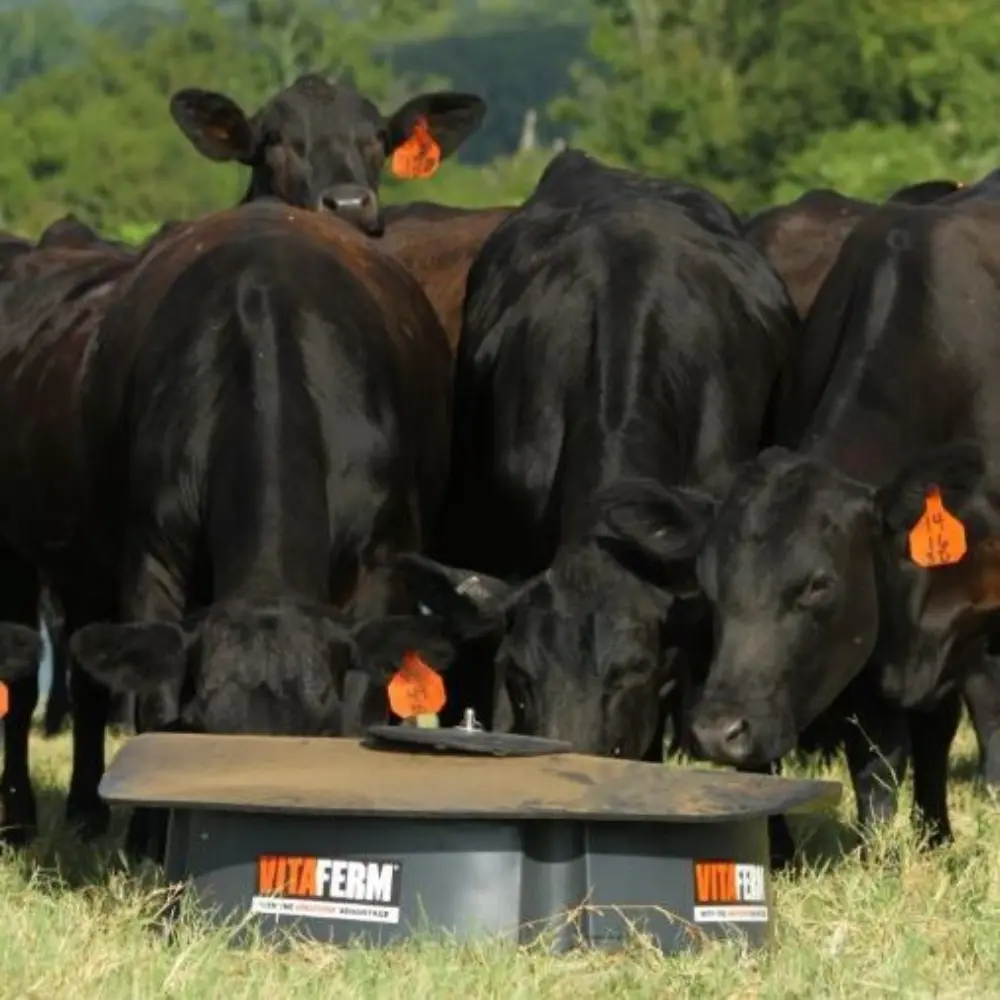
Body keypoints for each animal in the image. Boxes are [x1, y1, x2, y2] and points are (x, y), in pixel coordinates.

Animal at [634, 196, 1000, 849]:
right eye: (710, 588)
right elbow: (878, 763)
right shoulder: (873, 640)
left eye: (817, 585)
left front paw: (935, 837)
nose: (720, 731)